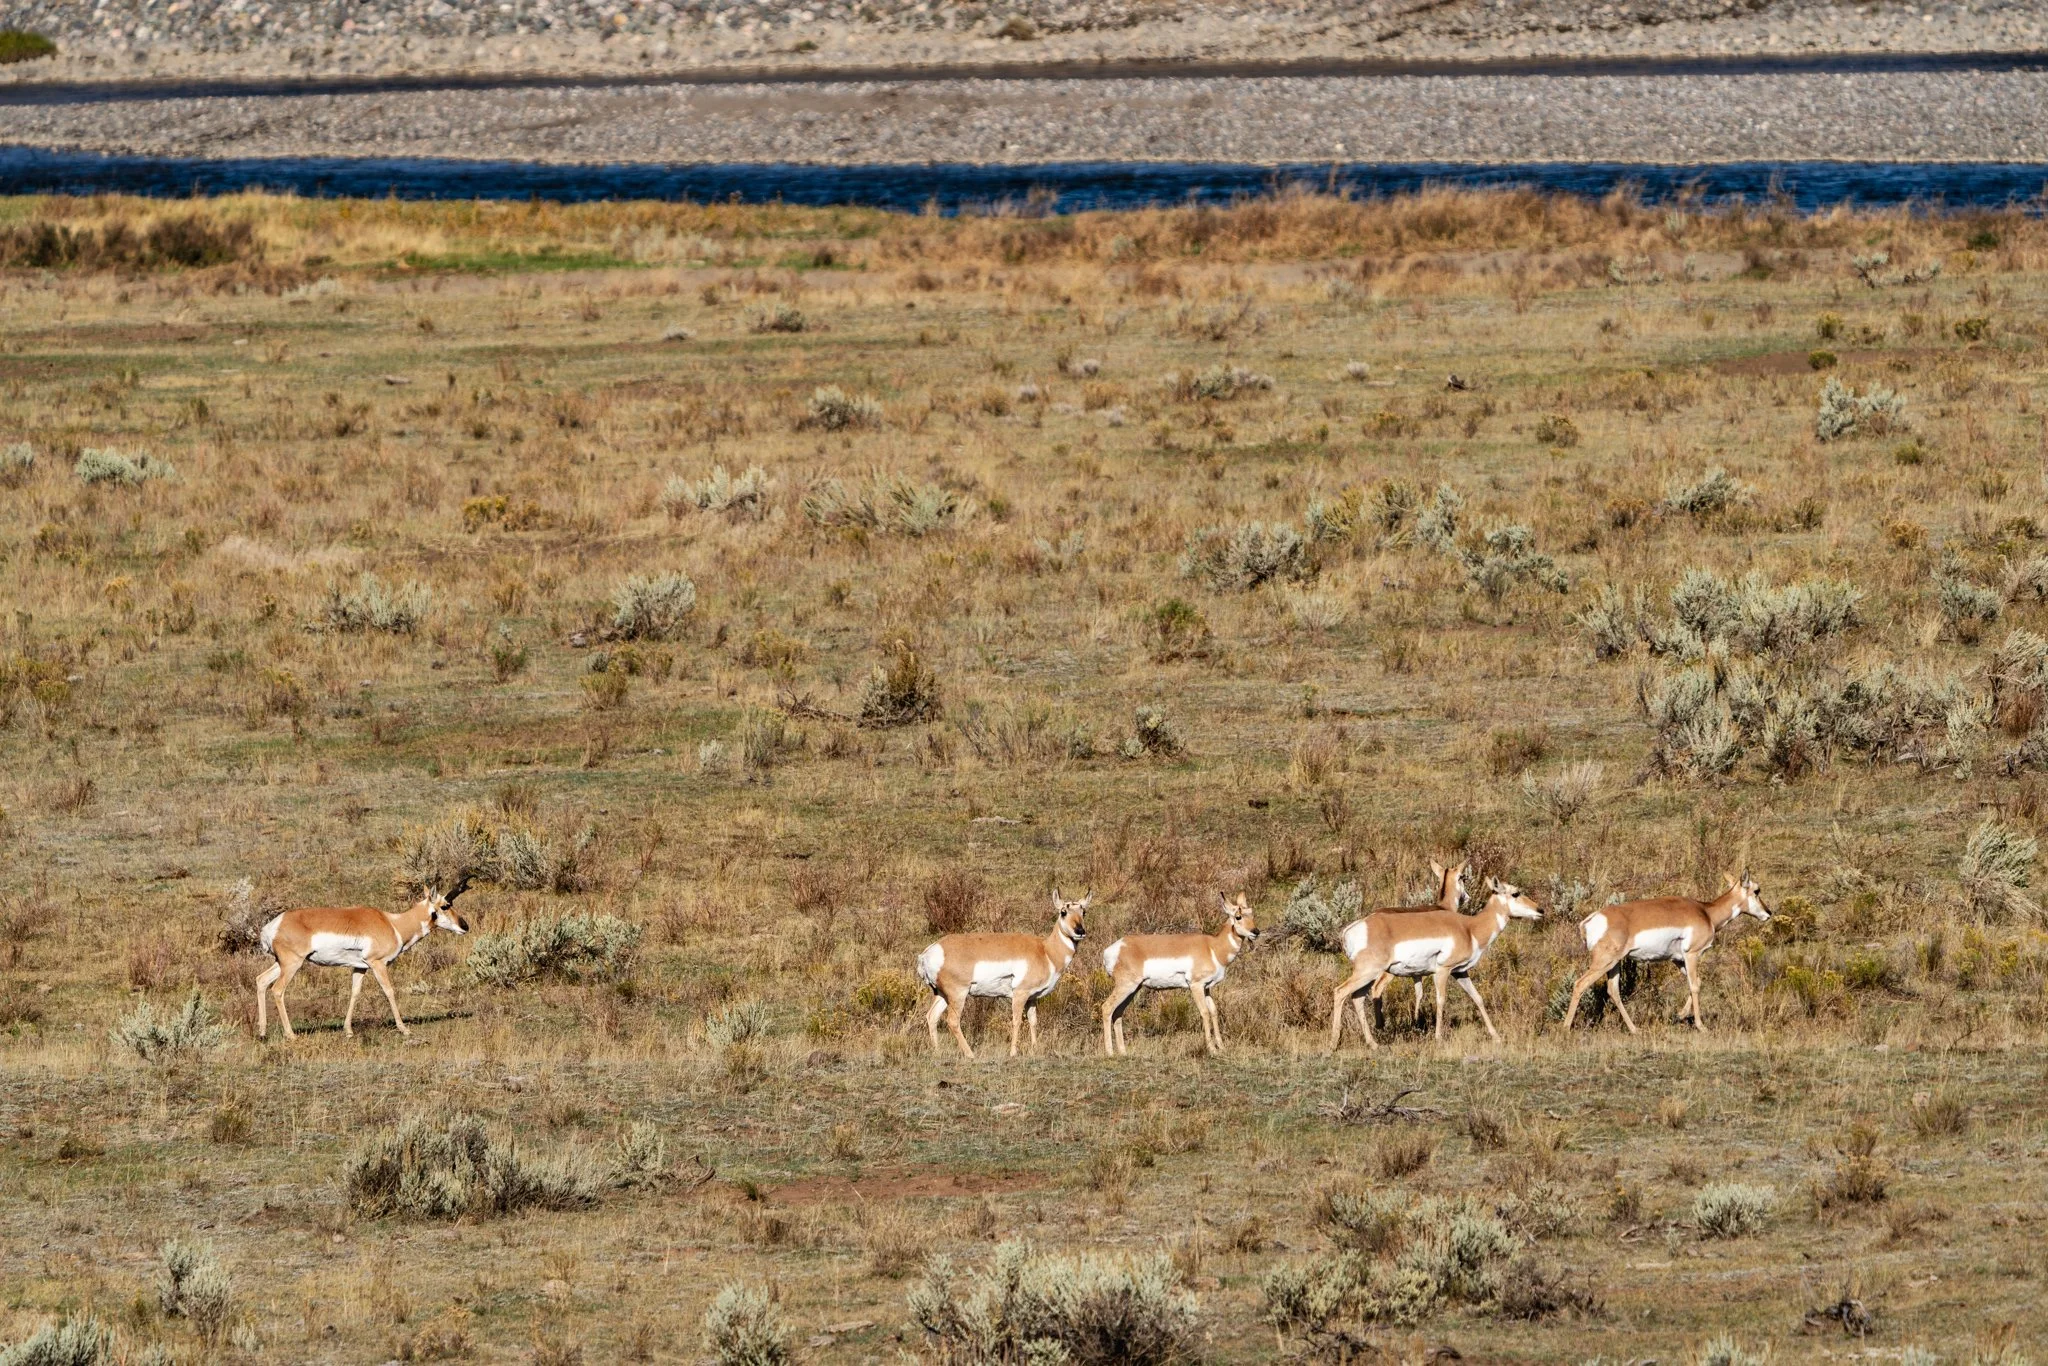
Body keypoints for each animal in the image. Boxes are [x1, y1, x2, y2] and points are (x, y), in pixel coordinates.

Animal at [255, 878, 473, 1040]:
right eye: (445, 906)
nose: (465, 926)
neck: (392, 923)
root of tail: (274, 925)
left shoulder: (360, 967)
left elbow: (355, 993)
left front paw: (348, 1030)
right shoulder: (378, 964)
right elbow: (389, 991)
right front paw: (404, 1029)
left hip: (282, 964)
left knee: (261, 980)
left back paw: (263, 1032)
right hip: (292, 964)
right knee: (277, 990)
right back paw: (291, 1035)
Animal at [916, 890, 1089, 1059]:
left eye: (1083, 912)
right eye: (1063, 912)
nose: (1080, 931)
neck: (1046, 951)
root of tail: (929, 952)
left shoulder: (1032, 998)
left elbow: (1033, 1021)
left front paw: (1035, 1049)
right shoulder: (1020, 994)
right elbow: (1017, 1021)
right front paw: (1013, 1053)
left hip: (942, 994)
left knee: (932, 1016)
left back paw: (938, 1052)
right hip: (958, 993)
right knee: (952, 1021)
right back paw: (970, 1054)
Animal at [1100, 893, 1260, 1056]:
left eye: (1252, 913)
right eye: (1238, 916)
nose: (1256, 932)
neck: (1213, 947)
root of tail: (1114, 948)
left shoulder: (1207, 988)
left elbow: (1214, 1011)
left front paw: (1221, 1047)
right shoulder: (1196, 985)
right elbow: (1204, 1012)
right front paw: (1212, 1049)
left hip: (1134, 989)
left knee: (1118, 1012)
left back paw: (1123, 1052)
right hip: (1126, 986)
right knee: (1107, 1007)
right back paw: (1110, 1052)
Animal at [1326, 879, 1543, 1052]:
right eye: (1515, 893)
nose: (1540, 910)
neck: (1469, 928)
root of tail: (1353, 927)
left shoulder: (1460, 972)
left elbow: (1478, 998)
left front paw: (1496, 1036)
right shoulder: (1443, 971)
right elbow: (1441, 1000)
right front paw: (1438, 1038)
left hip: (1369, 976)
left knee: (1356, 998)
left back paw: (1373, 1044)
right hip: (1368, 972)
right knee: (1340, 991)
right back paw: (1334, 1044)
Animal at [1562, 873, 1771, 1034]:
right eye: (1756, 890)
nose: (1768, 913)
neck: (1705, 912)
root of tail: (1592, 919)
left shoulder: (1677, 960)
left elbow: (1696, 982)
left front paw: (1680, 1015)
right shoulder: (1692, 955)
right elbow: (1695, 986)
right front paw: (1701, 1026)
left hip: (1614, 964)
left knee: (1613, 991)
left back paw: (1635, 1029)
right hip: (1604, 963)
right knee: (1580, 984)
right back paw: (1565, 1028)